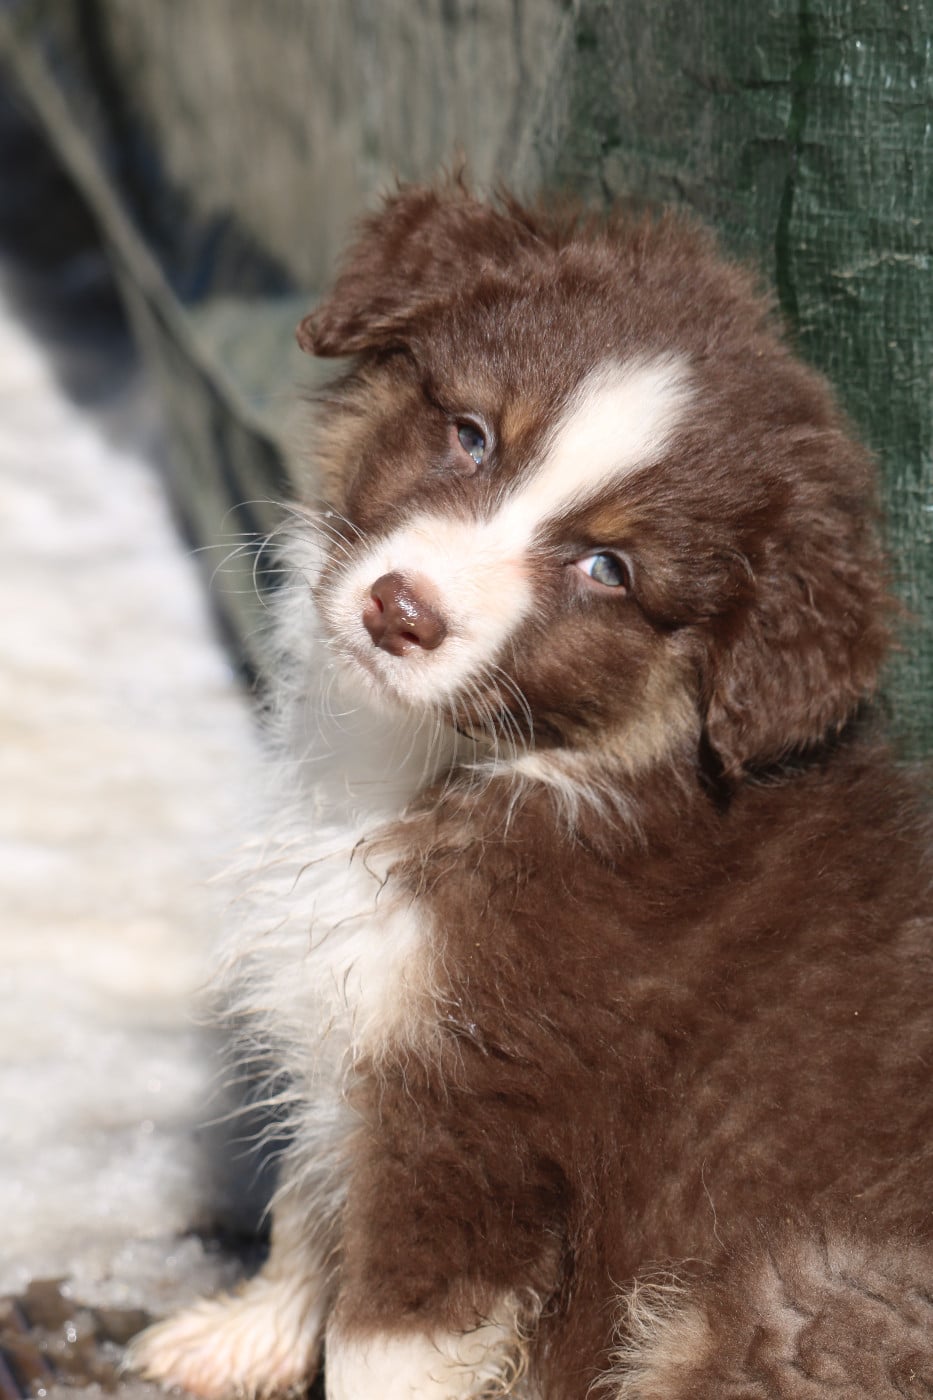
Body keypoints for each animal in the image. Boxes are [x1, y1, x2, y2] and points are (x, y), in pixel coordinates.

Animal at [130, 182, 933, 1399]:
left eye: (607, 569)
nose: (400, 611)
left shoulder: (474, 1123)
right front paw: (238, 1337)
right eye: (471, 435)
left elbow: (381, 1344)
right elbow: (308, 1206)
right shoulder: (361, 1039)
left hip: (785, 1295)